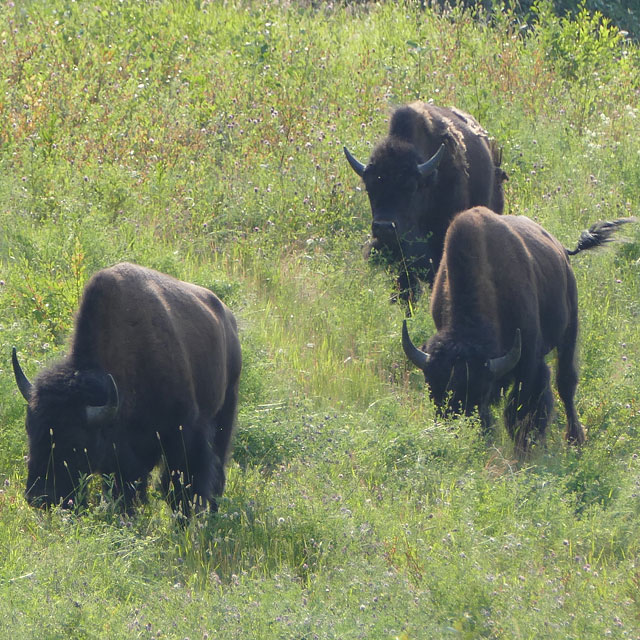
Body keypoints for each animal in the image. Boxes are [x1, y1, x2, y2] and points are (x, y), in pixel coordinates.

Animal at [12, 262, 242, 516]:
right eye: (30, 428)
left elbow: (181, 484)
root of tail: (227, 317)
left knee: (218, 464)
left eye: (76, 439)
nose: (39, 497)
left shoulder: (184, 433)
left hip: (225, 408)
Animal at [402, 208, 632, 452]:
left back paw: (575, 439)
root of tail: (561, 249)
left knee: (566, 383)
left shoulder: (528, 358)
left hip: (570, 328)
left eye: (481, 391)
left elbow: (520, 409)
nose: (459, 433)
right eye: (431, 389)